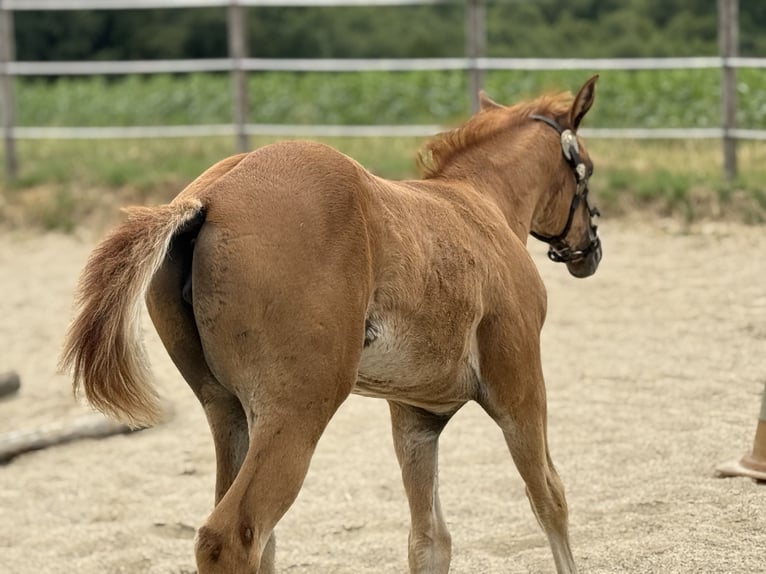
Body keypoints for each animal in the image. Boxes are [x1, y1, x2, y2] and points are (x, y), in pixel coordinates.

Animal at [60, 75, 601, 574]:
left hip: (229, 411)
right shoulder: (519, 385)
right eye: (588, 169)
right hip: (298, 408)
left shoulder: (415, 415)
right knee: (233, 535)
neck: (478, 205)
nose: (590, 249)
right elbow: (549, 497)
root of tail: (210, 197)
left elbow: (429, 540)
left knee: (257, 535)